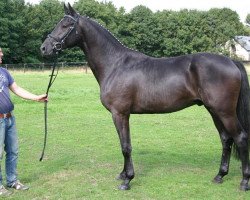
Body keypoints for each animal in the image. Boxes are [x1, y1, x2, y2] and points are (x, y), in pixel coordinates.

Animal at [41, 3, 250, 190]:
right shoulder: (120, 115)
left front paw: (127, 180)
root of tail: (232, 61)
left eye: (66, 25)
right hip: (214, 110)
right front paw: (123, 174)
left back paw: (244, 182)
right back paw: (220, 176)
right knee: (226, 139)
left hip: (224, 111)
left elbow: (126, 146)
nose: (44, 48)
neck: (115, 64)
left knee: (240, 137)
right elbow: (123, 144)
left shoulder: (120, 114)